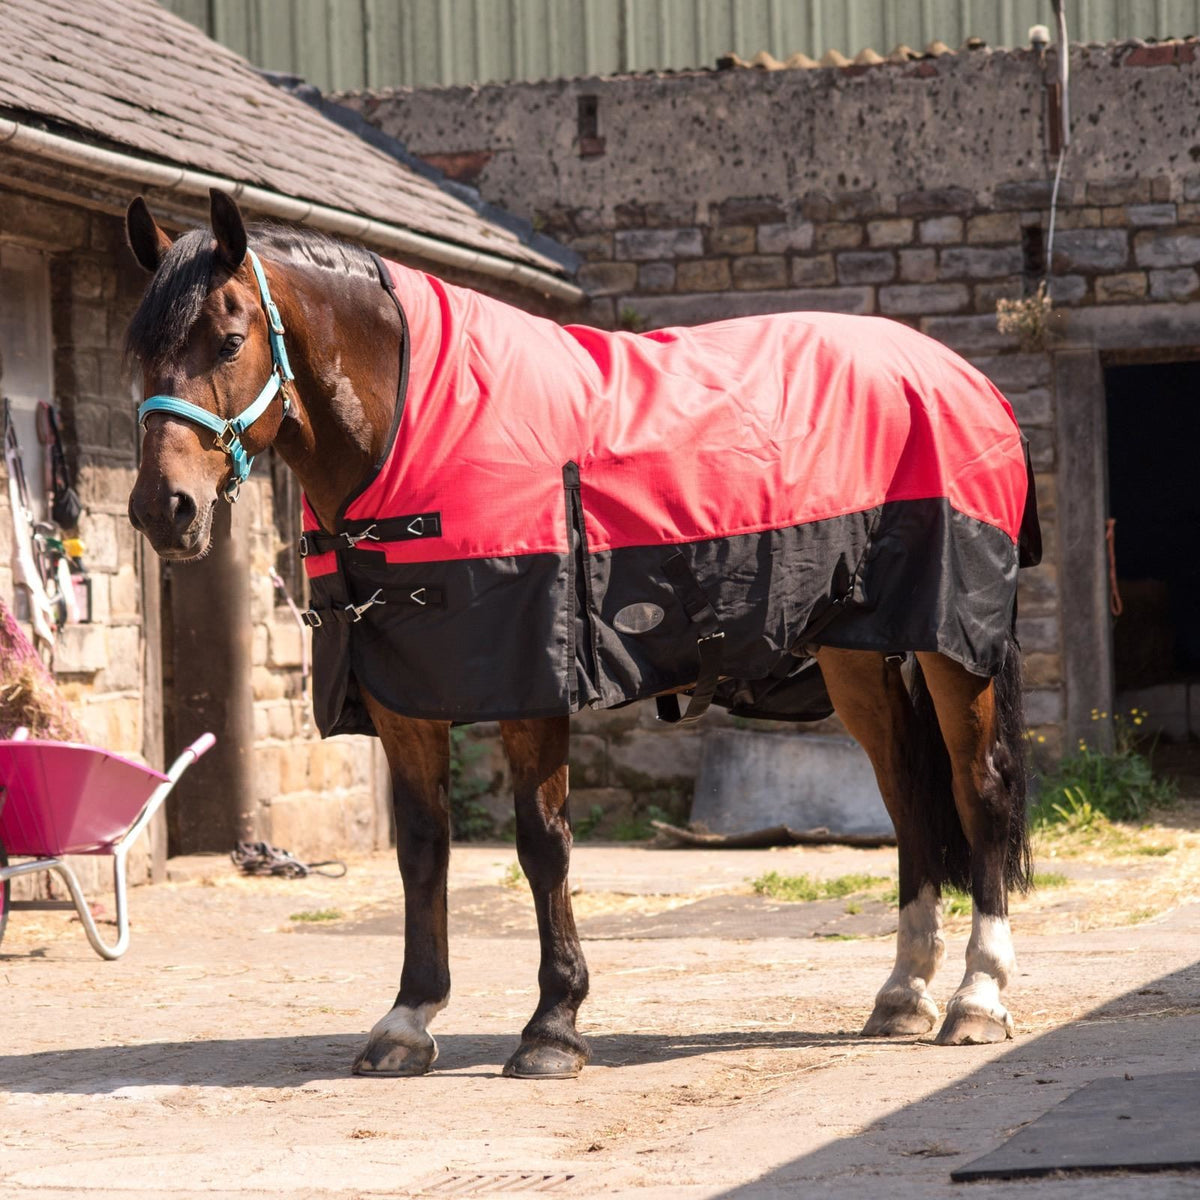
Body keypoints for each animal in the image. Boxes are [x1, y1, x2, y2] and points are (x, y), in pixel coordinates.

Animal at [124, 190, 1038, 1080]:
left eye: (230, 340)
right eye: (138, 352)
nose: (163, 510)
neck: (419, 423)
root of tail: (961, 376)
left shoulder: (533, 685)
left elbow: (544, 844)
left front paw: (553, 1025)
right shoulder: (405, 697)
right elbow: (423, 848)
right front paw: (408, 1019)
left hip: (952, 646)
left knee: (980, 790)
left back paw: (978, 997)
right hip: (857, 656)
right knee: (909, 799)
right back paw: (903, 993)